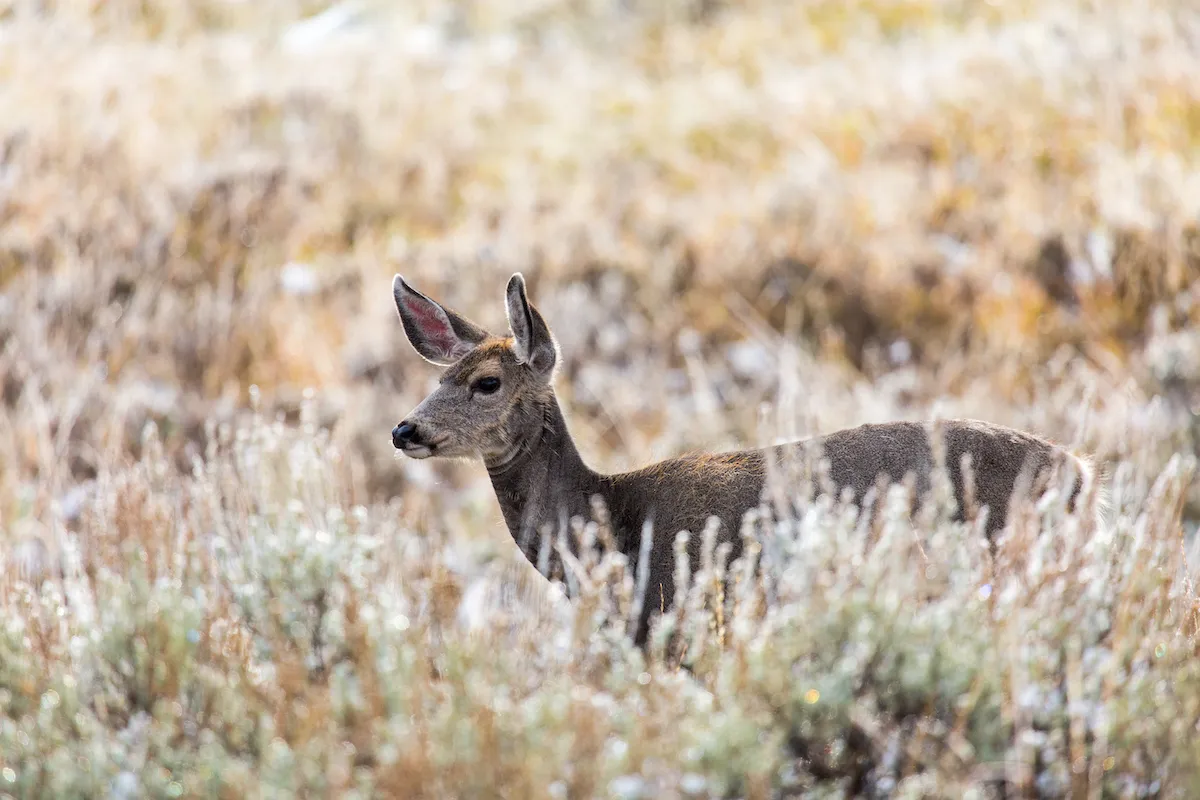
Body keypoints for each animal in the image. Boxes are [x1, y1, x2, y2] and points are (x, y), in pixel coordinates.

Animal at [391, 272, 1089, 647]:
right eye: (441, 374)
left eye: (487, 382)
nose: (405, 429)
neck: (613, 524)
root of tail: (1084, 474)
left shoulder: (673, 617)